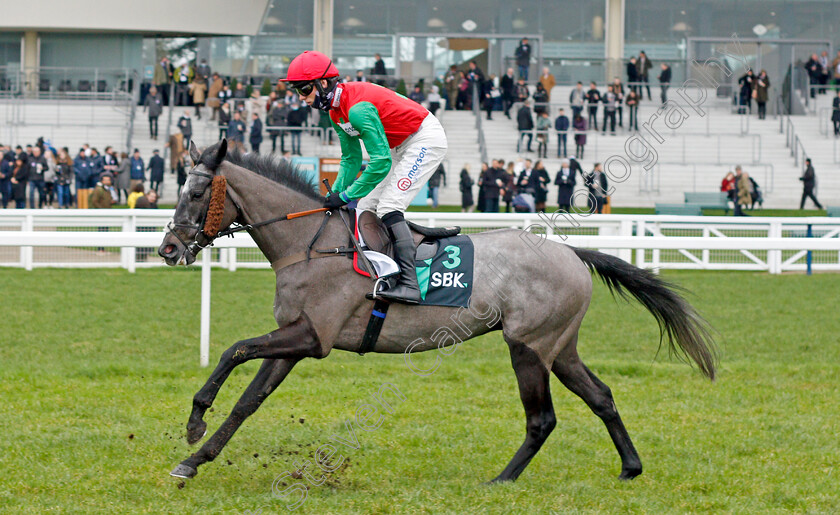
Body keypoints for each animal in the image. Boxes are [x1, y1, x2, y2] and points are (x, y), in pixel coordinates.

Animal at [158, 140, 716, 484]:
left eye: (195, 191)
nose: (167, 249)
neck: (309, 244)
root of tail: (571, 253)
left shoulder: (313, 338)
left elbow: (234, 350)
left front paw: (195, 421)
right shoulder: (295, 338)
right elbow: (247, 401)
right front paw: (194, 459)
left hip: (527, 346)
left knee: (542, 418)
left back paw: (502, 479)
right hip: (559, 347)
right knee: (600, 396)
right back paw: (630, 467)